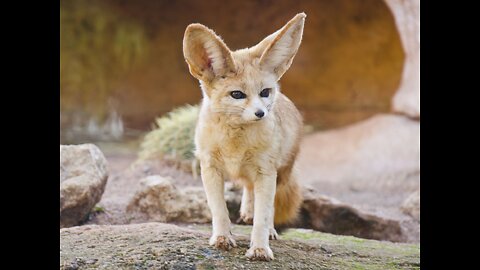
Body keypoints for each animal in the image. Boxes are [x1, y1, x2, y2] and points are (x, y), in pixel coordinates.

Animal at [182, 13, 306, 262]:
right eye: (237, 94)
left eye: (265, 92)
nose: (261, 113)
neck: (235, 144)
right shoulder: (210, 169)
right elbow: (219, 210)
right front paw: (222, 237)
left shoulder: (266, 172)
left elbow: (263, 215)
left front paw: (259, 248)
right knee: (249, 190)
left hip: (280, 174)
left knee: (267, 205)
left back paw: (268, 230)